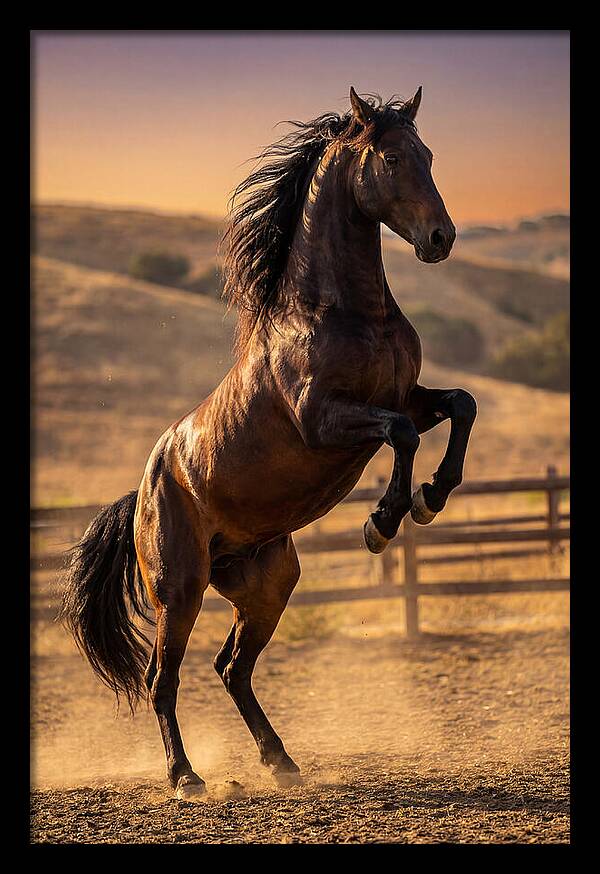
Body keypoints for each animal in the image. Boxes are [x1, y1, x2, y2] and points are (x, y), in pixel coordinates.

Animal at [61, 87, 477, 799]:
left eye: (428, 154)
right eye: (393, 158)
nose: (440, 238)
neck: (343, 312)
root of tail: (143, 491)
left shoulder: (407, 398)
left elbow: (460, 406)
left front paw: (431, 497)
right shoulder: (324, 419)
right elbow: (398, 437)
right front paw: (382, 521)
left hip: (267, 582)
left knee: (232, 668)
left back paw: (280, 761)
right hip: (181, 589)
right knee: (163, 679)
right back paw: (186, 778)